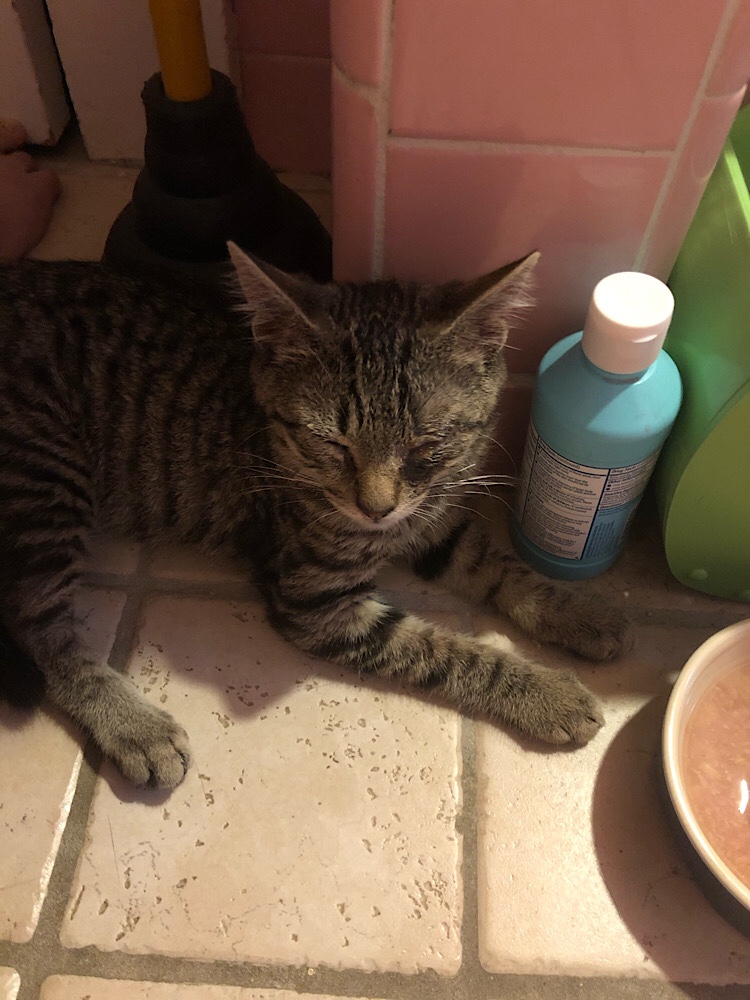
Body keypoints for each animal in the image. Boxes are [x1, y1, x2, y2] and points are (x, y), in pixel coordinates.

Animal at [0, 244, 631, 789]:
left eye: (426, 446)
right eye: (333, 444)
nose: (376, 507)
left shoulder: (433, 526)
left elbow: (501, 566)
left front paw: (576, 611)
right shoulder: (318, 603)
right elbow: (444, 651)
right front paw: (543, 692)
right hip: (47, 475)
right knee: (37, 627)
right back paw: (133, 725)